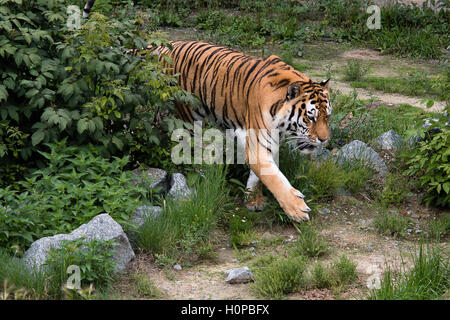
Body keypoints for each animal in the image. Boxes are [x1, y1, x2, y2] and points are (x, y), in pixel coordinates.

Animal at [130, 40, 330, 222]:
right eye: (310, 118)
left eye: (327, 117)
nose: (325, 139)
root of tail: (166, 45)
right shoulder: (258, 143)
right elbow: (275, 178)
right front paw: (297, 209)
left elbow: (260, 175)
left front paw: (253, 200)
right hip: (186, 116)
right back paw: (200, 175)